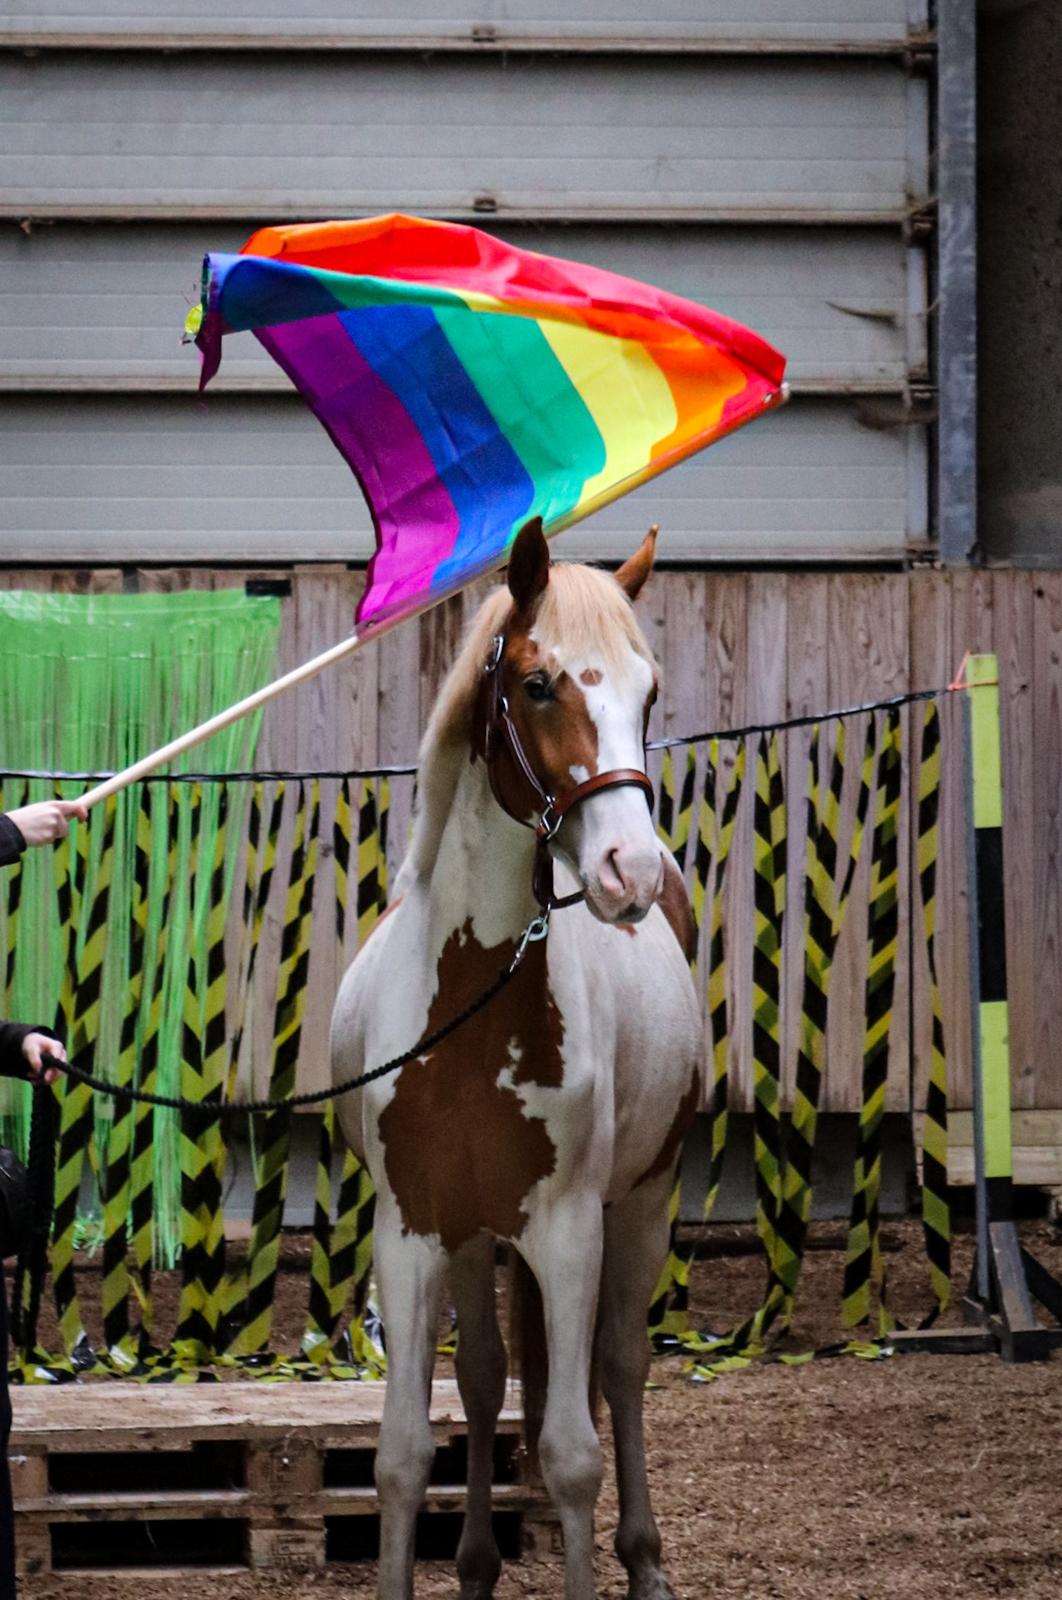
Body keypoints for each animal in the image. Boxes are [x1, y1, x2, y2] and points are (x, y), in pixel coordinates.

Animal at [332, 518, 703, 1593]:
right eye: (538, 683)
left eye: (648, 693)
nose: (629, 870)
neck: (470, 1012)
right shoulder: (411, 1233)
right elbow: (405, 1454)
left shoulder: (570, 1229)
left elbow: (573, 1456)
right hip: (473, 1239)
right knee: (490, 1376)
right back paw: (479, 1563)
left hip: (643, 1203)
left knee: (622, 1365)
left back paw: (645, 1561)